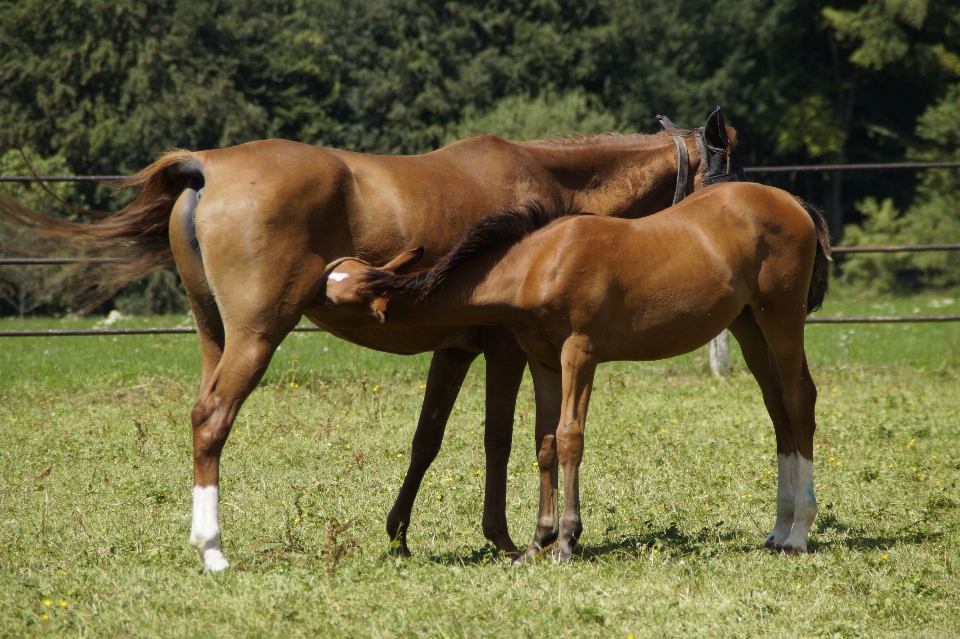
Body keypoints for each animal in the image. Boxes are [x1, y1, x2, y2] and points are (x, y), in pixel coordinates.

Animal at [0, 109, 744, 568]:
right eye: (727, 170)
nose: (729, 223)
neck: (546, 185)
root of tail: (206, 166)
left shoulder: (456, 348)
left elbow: (427, 439)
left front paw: (400, 533)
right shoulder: (509, 349)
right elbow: (509, 439)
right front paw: (513, 540)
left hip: (216, 336)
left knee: (201, 414)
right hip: (255, 338)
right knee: (212, 420)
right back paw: (212, 548)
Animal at [324, 182, 832, 564]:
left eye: (338, 301)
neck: (542, 261)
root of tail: (794, 202)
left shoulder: (579, 354)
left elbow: (571, 437)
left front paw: (567, 538)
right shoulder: (544, 360)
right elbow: (545, 443)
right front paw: (538, 541)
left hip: (781, 315)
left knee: (799, 400)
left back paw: (798, 534)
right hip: (748, 325)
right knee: (777, 408)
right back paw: (778, 529)